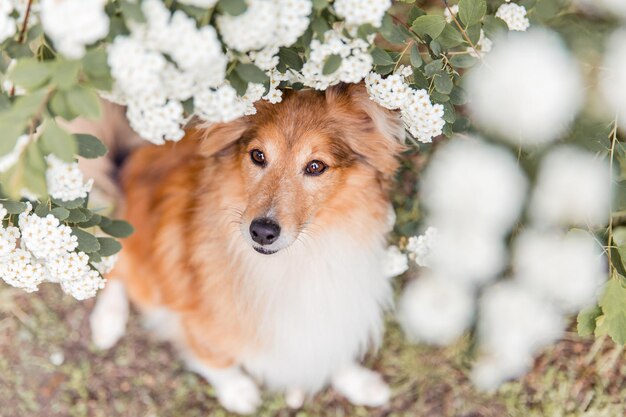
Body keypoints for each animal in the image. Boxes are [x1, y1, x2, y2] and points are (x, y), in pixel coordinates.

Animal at [88, 82, 402, 412]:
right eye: (258, 155)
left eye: (316, 166)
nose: (262, 232)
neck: (294, 261)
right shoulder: (197, 319)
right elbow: (215, 360)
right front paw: (238, 391)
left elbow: (327, 349)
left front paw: (360, 383)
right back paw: (107, 321)